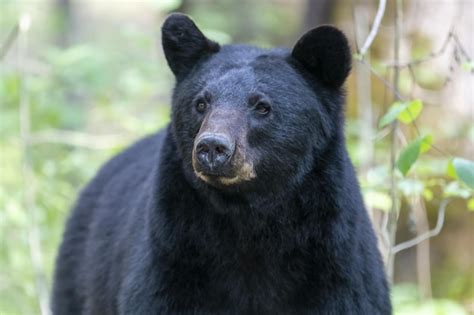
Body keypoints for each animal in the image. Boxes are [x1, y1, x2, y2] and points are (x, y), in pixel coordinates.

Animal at [52, 12, 392, 315]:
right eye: (201, 103)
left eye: (262, 106)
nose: (213, 146)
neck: (248, 216)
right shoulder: (172, 256)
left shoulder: (336, 265)